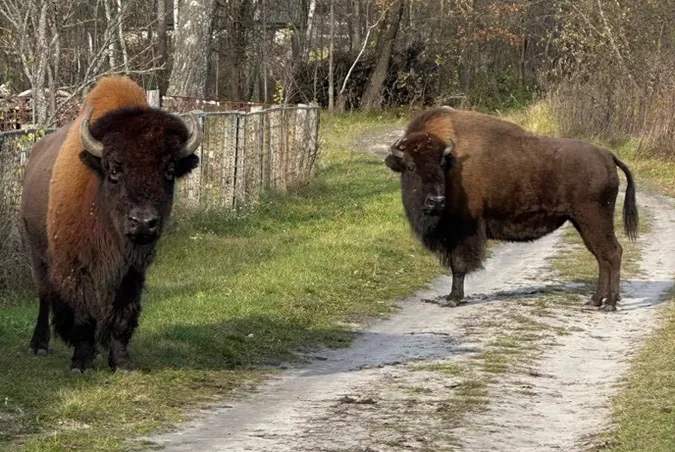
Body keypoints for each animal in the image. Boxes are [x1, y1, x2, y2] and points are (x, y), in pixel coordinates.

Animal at [21, 76, 202, 372]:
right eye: (115, 168)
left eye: (169, 171)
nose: (143, 222)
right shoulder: (76, 265)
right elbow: (83, 313)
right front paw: (81, 362)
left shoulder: (132, 271)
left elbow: (123, 313)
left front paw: (122, 362)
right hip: (38, 253)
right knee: (44, 295)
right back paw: (39, 345)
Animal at [384, 107, 638, 311]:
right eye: (410, 166)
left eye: (440, 165)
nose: (436, 201)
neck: (453, 164)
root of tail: (607, 155)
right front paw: (451, 297)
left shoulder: (463, 232)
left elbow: (458, 266)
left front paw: (454, 299)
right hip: (582, 223)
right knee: (601, 256)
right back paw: (595, 300)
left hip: (595, 219)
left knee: (612, 253)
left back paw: (610, 304)